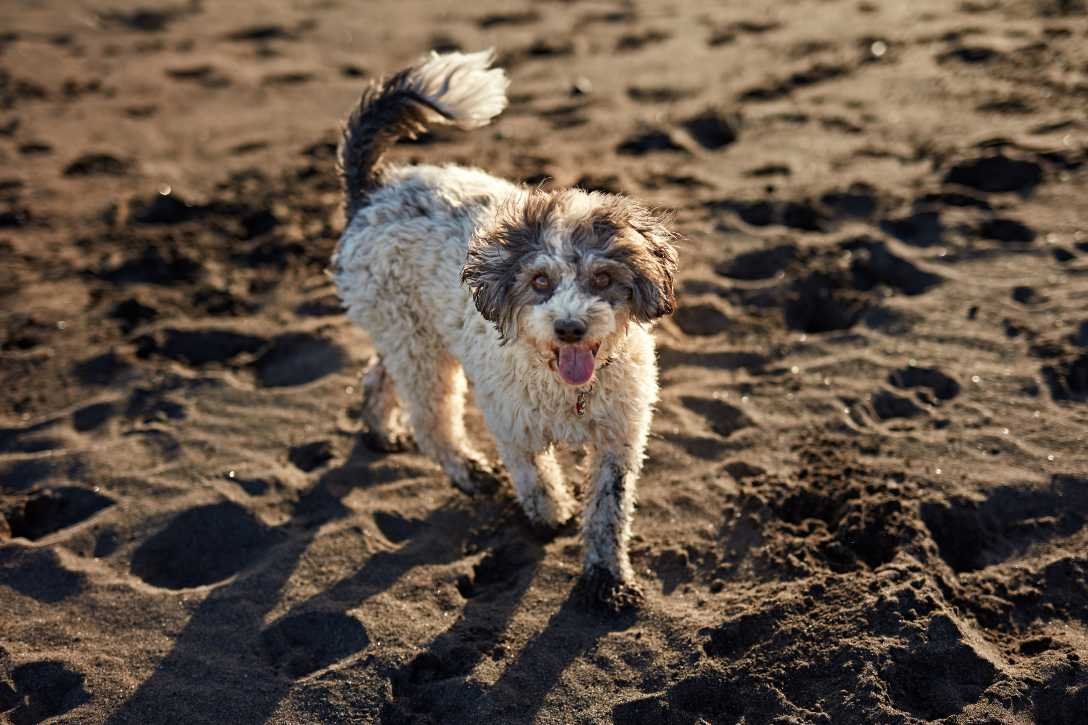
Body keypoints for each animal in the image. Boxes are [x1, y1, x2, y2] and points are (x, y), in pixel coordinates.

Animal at [330, 47, 674, 605]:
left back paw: (382, 431)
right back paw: (467, 470)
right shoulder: (513, 426)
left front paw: (608, 581)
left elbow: (609, 511)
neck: (568, 390)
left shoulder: (619, 437)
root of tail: (375, 189)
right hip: (417, 344)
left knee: (377, 374)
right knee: (432, 419)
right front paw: (551, 515)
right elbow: (535, 479)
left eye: (603, 277)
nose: (570, 328)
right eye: (539, 280)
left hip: (405, 328)